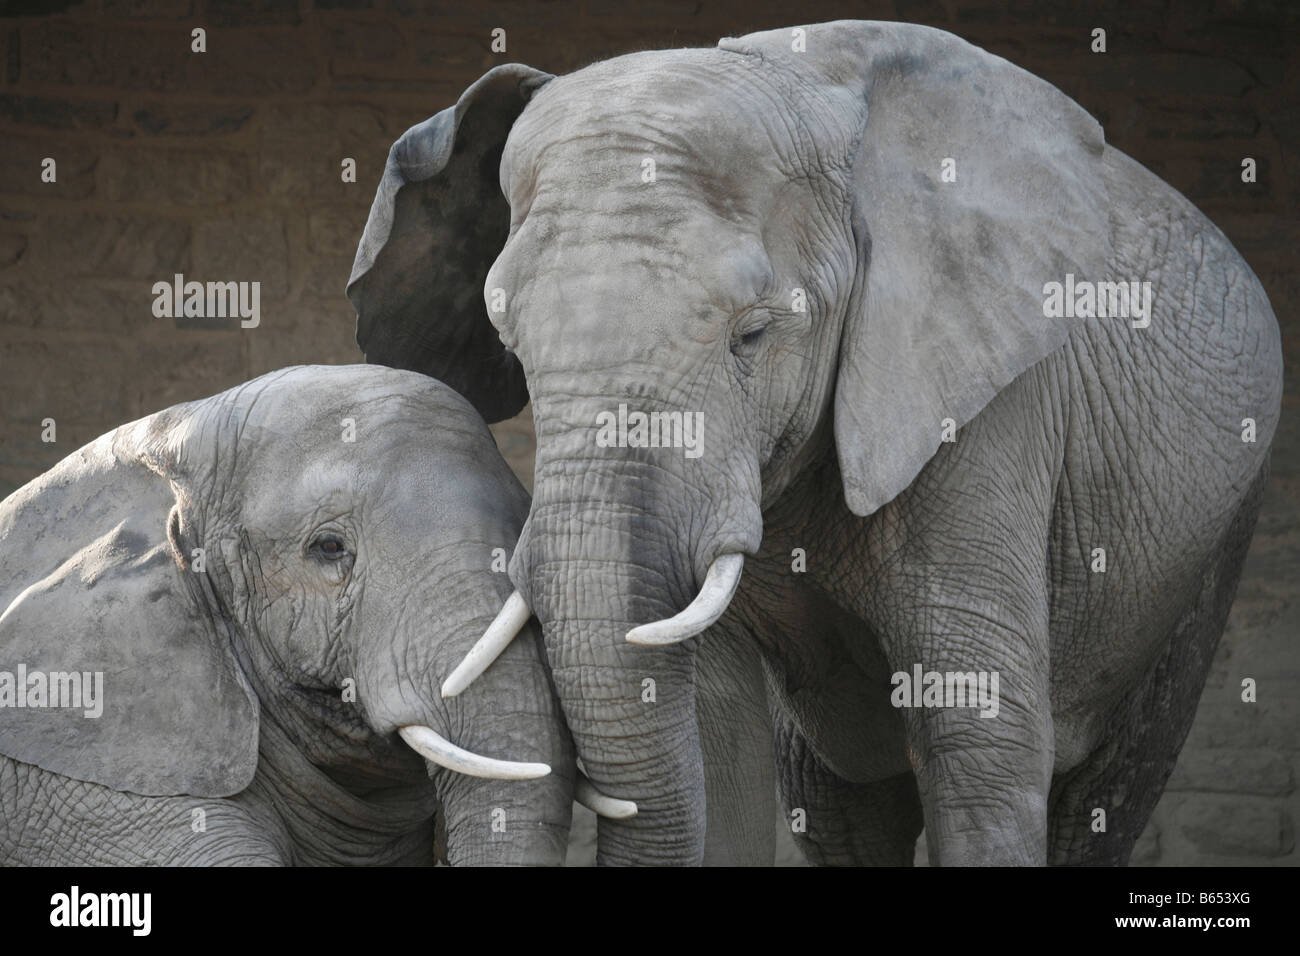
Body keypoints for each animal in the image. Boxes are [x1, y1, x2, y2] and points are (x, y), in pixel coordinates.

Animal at [348, 20, 1289, 868]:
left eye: (754, 334)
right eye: (510, 339)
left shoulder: (990, 403)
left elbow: (979, 743)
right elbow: (714, 739)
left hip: (1211, 536)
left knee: (1106, 793)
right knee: (837, 804)